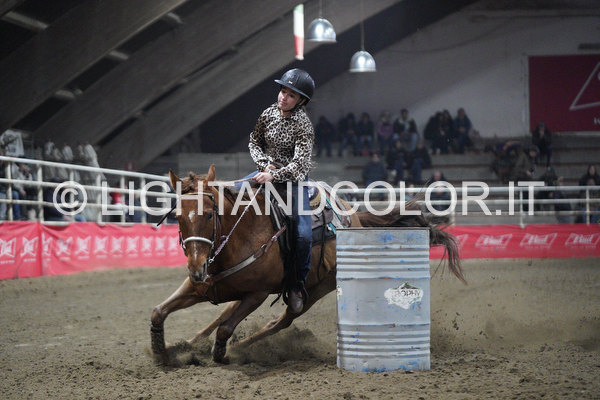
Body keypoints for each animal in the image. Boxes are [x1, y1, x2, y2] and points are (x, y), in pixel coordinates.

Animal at [150, 165, 466, 364]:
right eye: (178, 216)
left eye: (209, 214)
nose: (197, 268)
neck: (238, 237)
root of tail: (352, 215)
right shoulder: (197, 286)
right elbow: (159, 312)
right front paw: (160, 351)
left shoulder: (257, 294)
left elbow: (226, 329)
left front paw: (221, 353)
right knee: (226, 313)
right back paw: (190, 344)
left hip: (317, 288)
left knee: (284, 318)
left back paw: (239, 347)